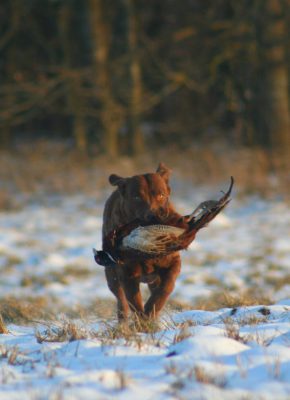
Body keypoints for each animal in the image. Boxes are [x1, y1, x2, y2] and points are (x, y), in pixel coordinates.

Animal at [102, 161, 184, 320]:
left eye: (161, 195)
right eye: (137, 197)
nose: (154, 215)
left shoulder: (173, 262)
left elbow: (166, 287)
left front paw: (152, 310)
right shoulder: (127, 273)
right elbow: (135, 303)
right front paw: (144, 320)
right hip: (111, 274)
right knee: (121, 300)